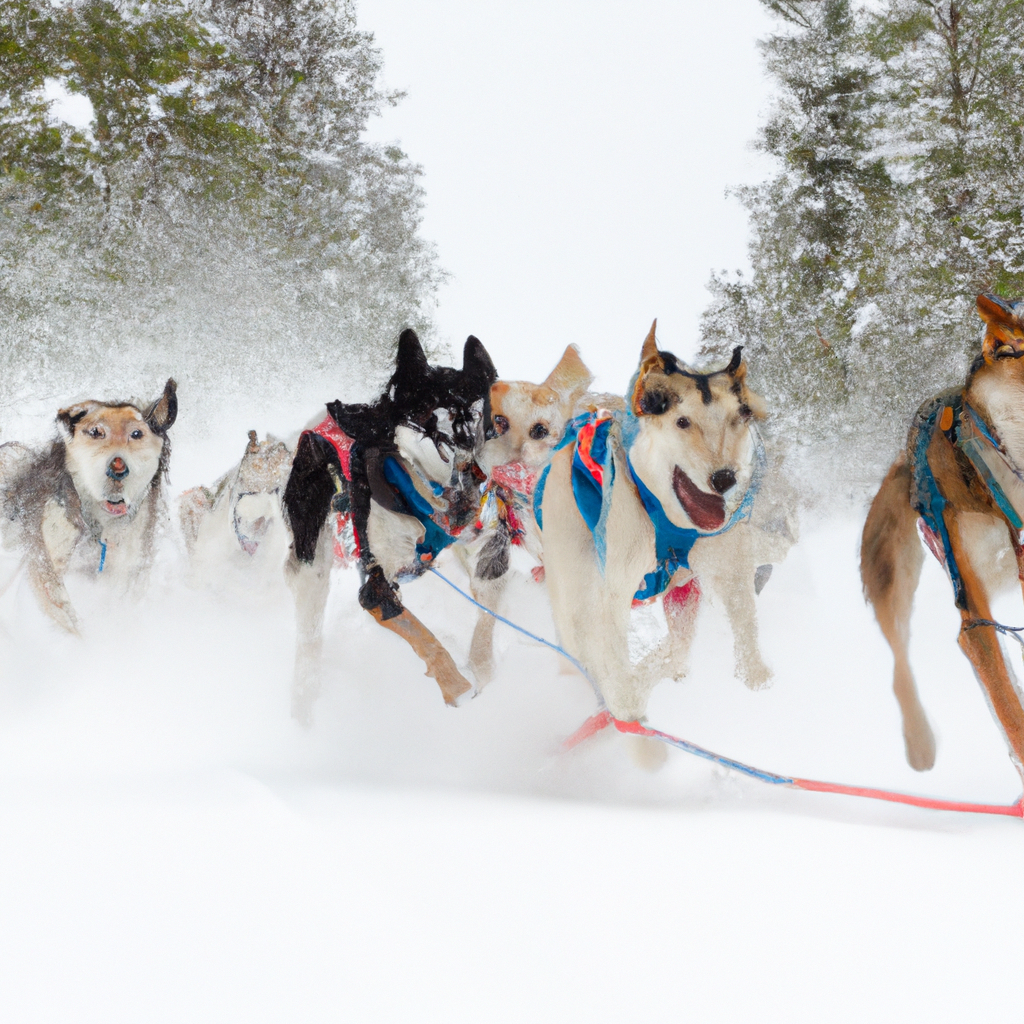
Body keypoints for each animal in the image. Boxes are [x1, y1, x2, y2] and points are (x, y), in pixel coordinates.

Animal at [536, 319, 770, 729]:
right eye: (682, 422)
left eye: (737, 418)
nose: (725, 477)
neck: (660, 510)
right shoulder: (610, 594)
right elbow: (615, 665)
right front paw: (627, 702)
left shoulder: (719, 572)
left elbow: (701, 639)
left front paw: (756, 679)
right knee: (581, 644)